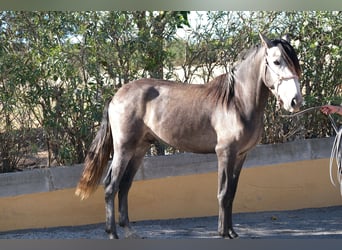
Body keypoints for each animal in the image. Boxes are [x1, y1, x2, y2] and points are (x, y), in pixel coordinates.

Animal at [75, 33, 302, 238]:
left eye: (294, 63)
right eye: (276, 61)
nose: (295, 101)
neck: (237, 103)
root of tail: (115, 96)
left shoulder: (241, 156)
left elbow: (232, 193)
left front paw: (232, 232)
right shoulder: (225, 153)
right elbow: (223, 193)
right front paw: (223, 233)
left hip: (139, 149)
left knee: (124, 186)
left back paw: (130, 231)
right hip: (123, 148)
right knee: (111, 186)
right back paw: (112, 233)